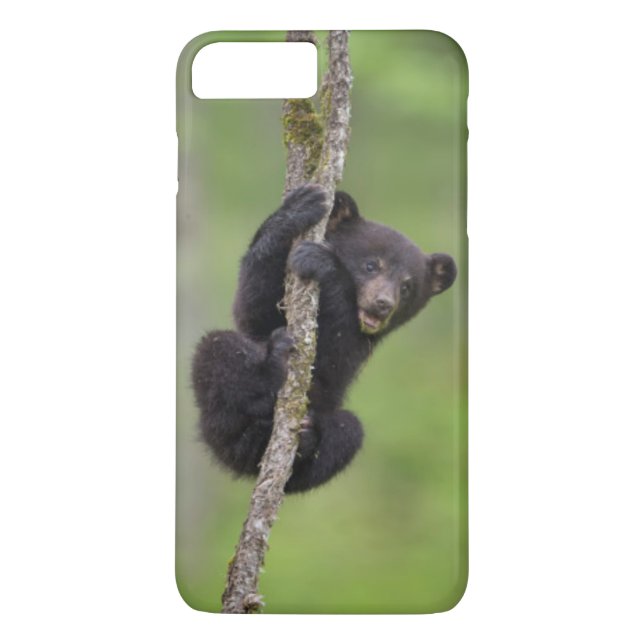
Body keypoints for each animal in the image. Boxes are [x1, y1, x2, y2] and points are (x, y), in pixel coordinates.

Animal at [191, 184, 456, 493]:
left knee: (348, 433)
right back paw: (270, 371)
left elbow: (334, 359)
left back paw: (305, 440)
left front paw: (324, 263)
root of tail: (240, 460)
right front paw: (299, 207)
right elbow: (253, 308)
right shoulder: (263, 313)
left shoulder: (358, 346)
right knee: (218, 348)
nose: (383, 304)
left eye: (407, 286)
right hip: (218, 422)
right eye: (371, 265)